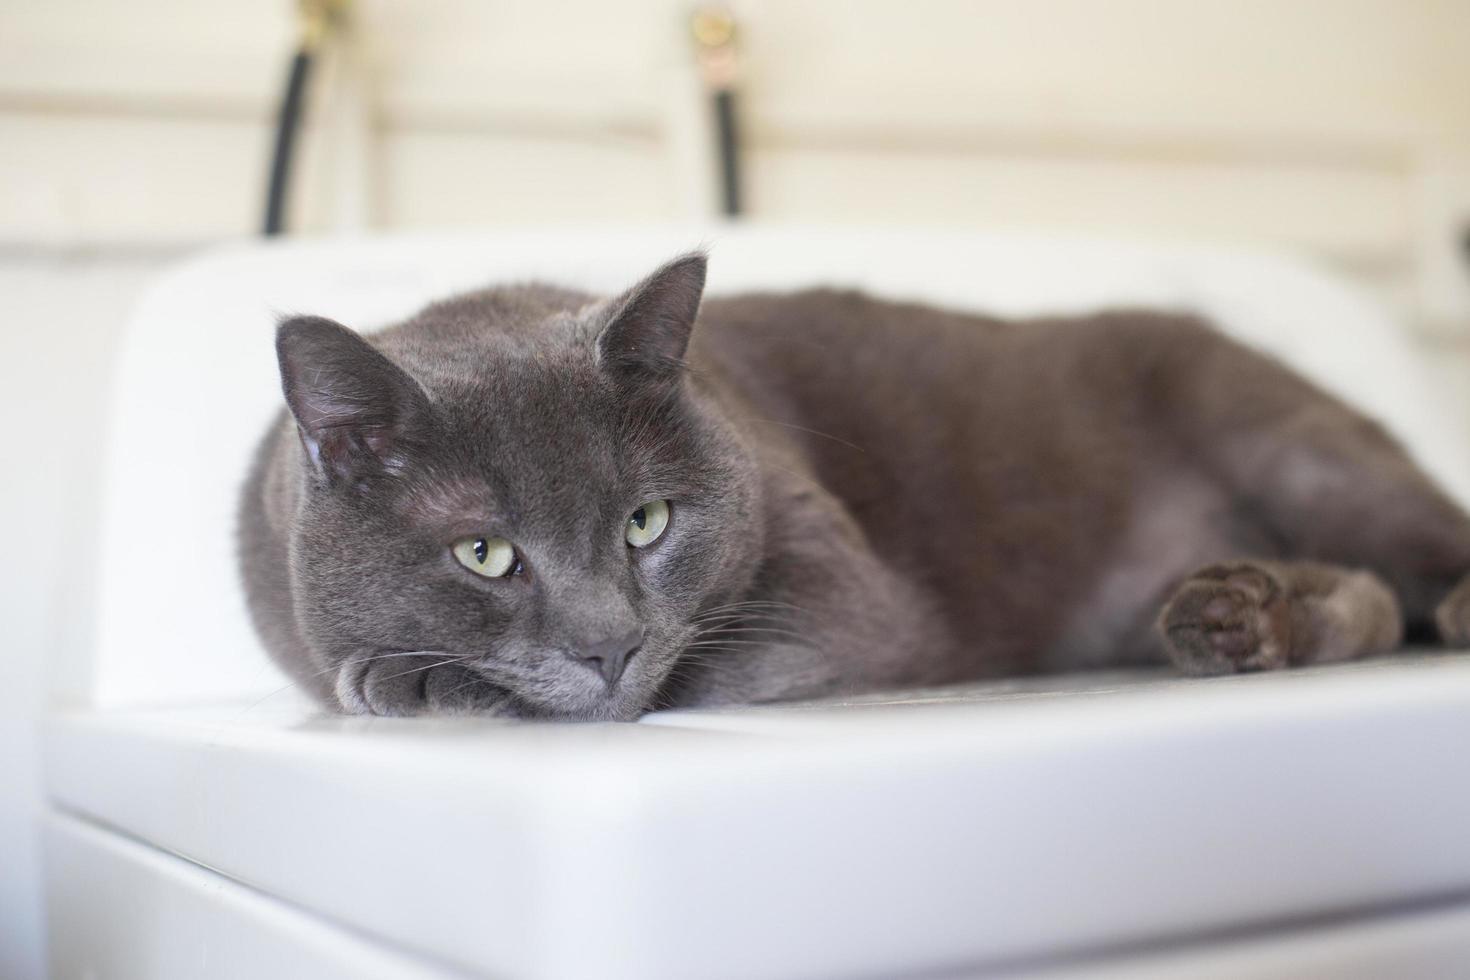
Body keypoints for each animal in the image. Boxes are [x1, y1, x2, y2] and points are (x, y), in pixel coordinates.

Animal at [235, 255, 1470, 719]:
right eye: (485, 552)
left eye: (647, 522)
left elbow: (708, 669)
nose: (608, 645)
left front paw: (408, 680)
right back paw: (1234, 615)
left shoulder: (847, 598)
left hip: (1289, 439)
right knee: (1368, 595)